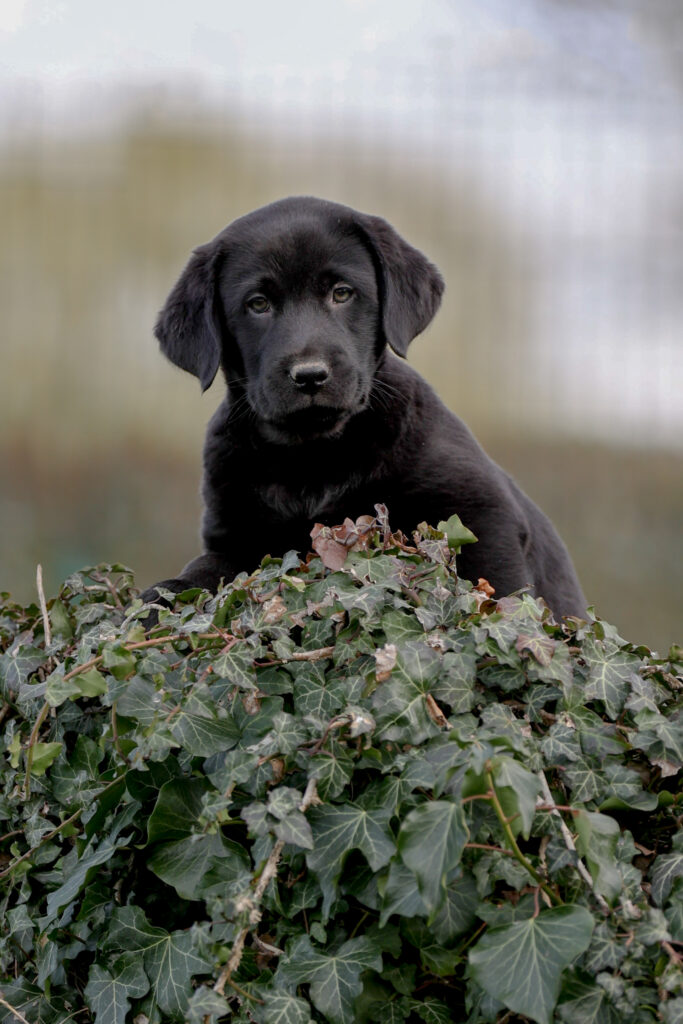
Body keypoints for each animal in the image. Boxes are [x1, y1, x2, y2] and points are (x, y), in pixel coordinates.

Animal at [147, 196, 585, 618]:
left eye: (342, 293)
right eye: (257, 304)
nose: (310, 375)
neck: (312, 456)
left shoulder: (482, 512)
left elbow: (498, 585)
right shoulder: (236, 537)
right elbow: (205, 571)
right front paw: (161, 598)